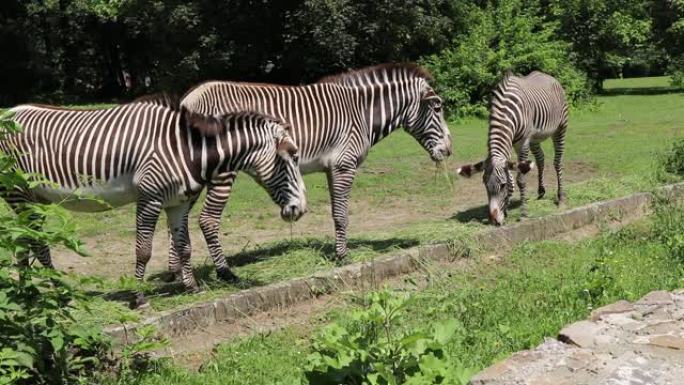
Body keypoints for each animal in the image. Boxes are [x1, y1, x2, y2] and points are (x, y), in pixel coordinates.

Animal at [2, 97, 308, 302]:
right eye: (292, 156)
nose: (301, 209)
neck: (188, 149)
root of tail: (10, 112)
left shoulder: (178, 202)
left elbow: (184, 246)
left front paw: (191, 287)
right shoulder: (149, 197)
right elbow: (144, 249)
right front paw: (138, 297)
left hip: (35, 197)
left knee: (24, 241)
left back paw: (29, 293)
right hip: (19, 192)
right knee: (35, 243)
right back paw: (57, 294)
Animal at [179, 63, 452, 280]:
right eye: (437, 108)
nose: (449, 150)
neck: (361, 113)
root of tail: (188, 99)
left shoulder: (332, 168)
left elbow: (335, 212)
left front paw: (339, 251)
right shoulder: (344, 165)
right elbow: (342, 214)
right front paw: (343, 256)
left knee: (179, 223)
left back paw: (181, 276)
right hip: (221, 173)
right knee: (207, 220)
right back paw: (224, 272)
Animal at [456, 71, 568, 225]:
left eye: (502, 185)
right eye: (485, 185)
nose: (494, 221)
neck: (507, 113)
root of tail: (549, 76)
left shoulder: (523, 143)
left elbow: (520, 179)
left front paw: (523, 214)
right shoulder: (510, 144)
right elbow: (510, 175)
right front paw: (506, 209)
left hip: (560, 128)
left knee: (558, 162)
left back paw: (561, 198)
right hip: (535, 138)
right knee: (540, 159)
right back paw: (541, 191)